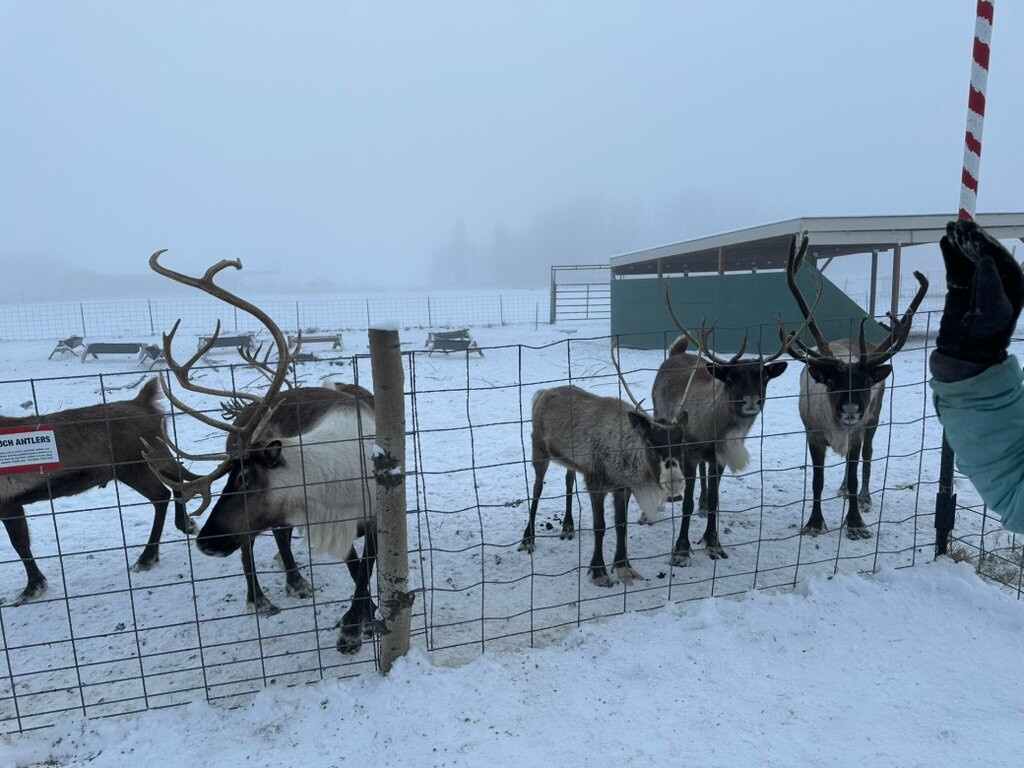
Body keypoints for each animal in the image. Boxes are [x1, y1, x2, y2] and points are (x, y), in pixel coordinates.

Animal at [0, 378, 198, 604]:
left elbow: (19, 543)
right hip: (145, 462)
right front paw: (35, 584)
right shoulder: (12, 503)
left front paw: (32, 587)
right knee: (173, 484)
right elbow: (21, 542)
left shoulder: (8, 503)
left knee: (164, 492)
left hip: (134, 466)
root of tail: (145, 403)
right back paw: (185, 525)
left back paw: (147, 557)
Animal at [143, 251, 378, 653]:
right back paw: (263, 597)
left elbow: (365, 568)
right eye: (227, 480)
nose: (205, 542)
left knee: (275, 536)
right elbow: (353, 567)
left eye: (244, 479)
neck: (336, 480)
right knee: (249, 547)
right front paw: (356, 624)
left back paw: (293, 581)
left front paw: (362, 620)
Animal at [519, 352, 689, 587]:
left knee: (568, 480)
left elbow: (621, 525)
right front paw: (598, 571)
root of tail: (541, 393)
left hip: (570, 461)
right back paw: (528, 538)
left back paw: (568, 526)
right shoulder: (596, 484)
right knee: (536, 488)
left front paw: (624, 566)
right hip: (539, 451)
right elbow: (600, 526)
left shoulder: (622, 488)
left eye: (681, 442)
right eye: (649, 442)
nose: (675, 482)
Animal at [650, 235, 815, 565]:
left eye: (763, 376)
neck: (714, 428)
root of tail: (674, 353)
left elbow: (716, 498)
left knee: (705, 485)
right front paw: (681, 549)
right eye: (730, 378)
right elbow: (686, 502)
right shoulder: (689, 452)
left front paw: (713, 541)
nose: (751, 400)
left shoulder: (720, 458)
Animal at [782, 238, 928, 539]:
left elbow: (853, 475)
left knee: (867, 457)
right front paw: (814, 522)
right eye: (832, 382)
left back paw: (865, 497)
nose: (851, 409)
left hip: (873, 419)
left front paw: (856, 522)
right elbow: (817, 480)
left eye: (865, 382)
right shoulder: (813, 435)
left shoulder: (856, 435)